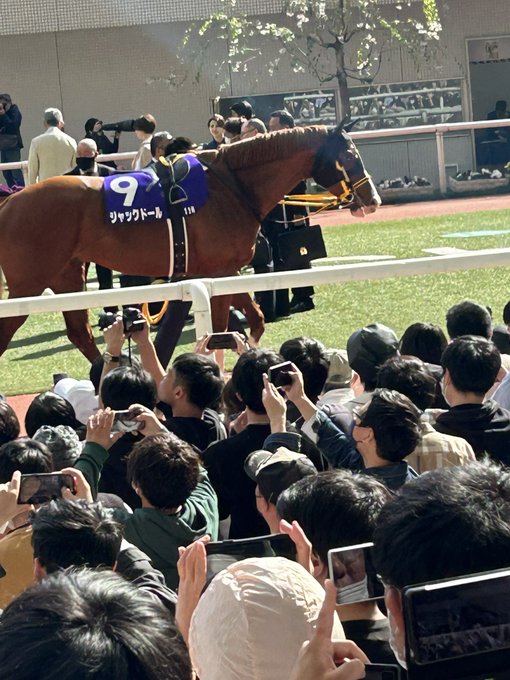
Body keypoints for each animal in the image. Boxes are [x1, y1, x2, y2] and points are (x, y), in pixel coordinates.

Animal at [0, 127, 378, 362]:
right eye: (349, 156)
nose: (372, 200)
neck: (232, 185)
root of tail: (9, 202)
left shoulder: (224, 271)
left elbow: (253, 320)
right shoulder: (220, 273)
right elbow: (223, 328)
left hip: (67, 274)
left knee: (79, 333)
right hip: (28, 284)